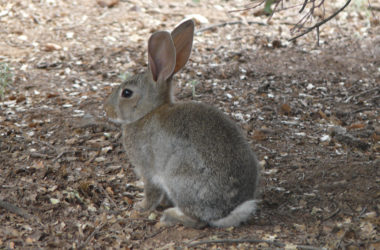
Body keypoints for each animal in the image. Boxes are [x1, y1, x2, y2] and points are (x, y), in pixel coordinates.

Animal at [104, 20, 260, 229]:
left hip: (179, 179)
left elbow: (151, 192)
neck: (148, 113)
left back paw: (170, 216)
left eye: (127, 93)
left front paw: (140, 207)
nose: (106, 109)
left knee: (197, 220)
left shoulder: (147, 170)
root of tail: (228, 211)